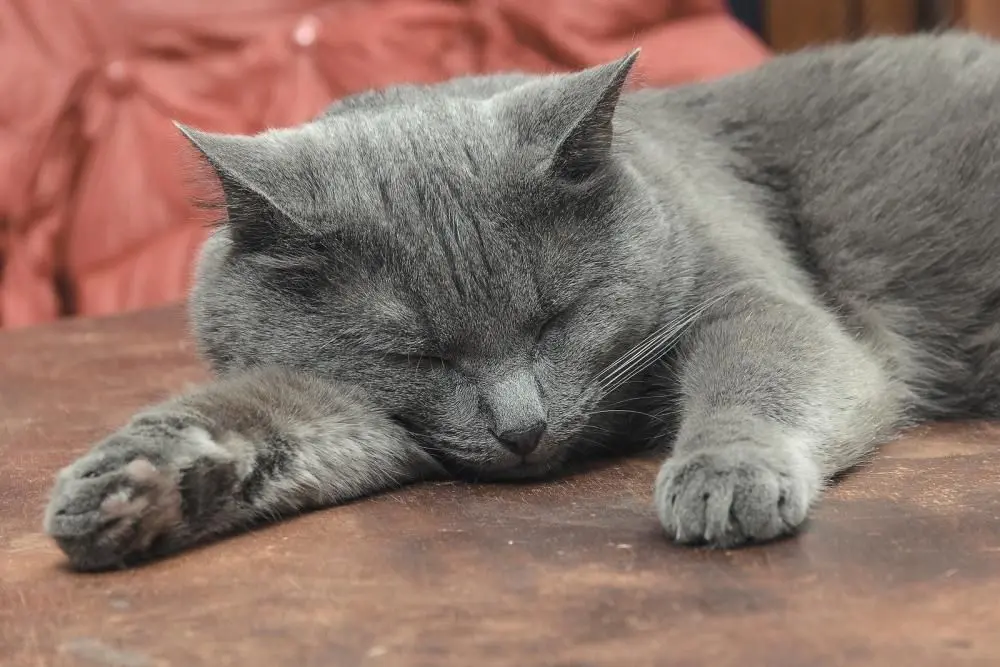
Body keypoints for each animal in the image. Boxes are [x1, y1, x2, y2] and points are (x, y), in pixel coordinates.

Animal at [43, 34, 1000, 572]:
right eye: (419, 356)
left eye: (557, 318)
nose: (522, 427)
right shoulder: (372, 406)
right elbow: (281, 414)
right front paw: (133, 481)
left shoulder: (751, 295)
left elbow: (764, 370)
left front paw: (725, 475)